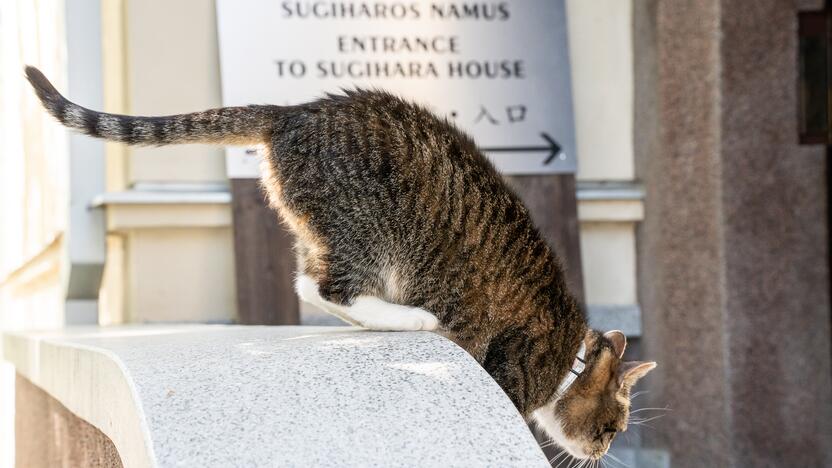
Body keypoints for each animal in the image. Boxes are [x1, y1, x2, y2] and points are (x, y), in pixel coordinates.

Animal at [26, 66, 656, 460]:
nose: (602, 451)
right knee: (327, 287)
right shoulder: (510, 373)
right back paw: (415, 319)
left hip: (328, 229)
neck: (568, 357)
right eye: (613, 426)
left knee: (309, 283)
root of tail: (293, 112)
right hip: (372, 232)